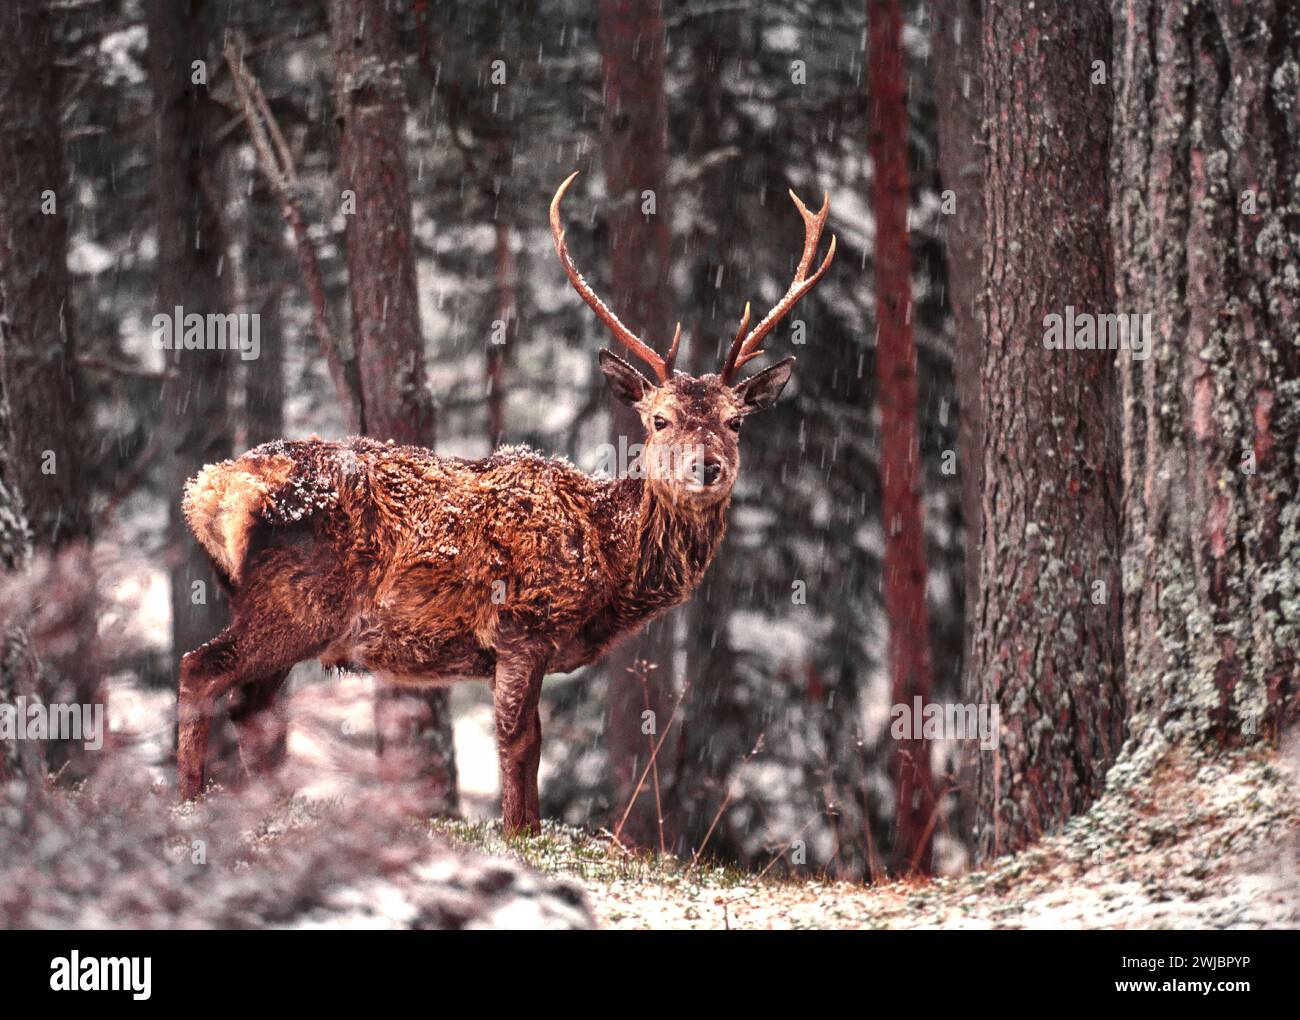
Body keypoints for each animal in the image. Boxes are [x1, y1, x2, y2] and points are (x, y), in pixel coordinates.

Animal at [175, 171, 832, 831]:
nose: (707, 465)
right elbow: (519, 743)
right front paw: (521, 830)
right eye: (659, 419)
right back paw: (187, 801)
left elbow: (528, 742)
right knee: (201, 671)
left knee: (251, 707)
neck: (607, 560)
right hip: (296, 600)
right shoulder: (522, 625)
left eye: (736, 422)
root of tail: (209, 488)